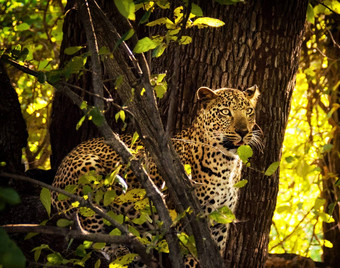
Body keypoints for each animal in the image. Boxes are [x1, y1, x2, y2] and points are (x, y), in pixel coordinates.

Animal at [51, 85, 262, 266]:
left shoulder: (220, 223)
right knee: (94, 237)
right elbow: (194, 258)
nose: (243, 131)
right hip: (87, 174)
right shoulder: (190, 221)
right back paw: (122, 251)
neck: (228, 162)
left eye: (249, 111)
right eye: (225, 112)